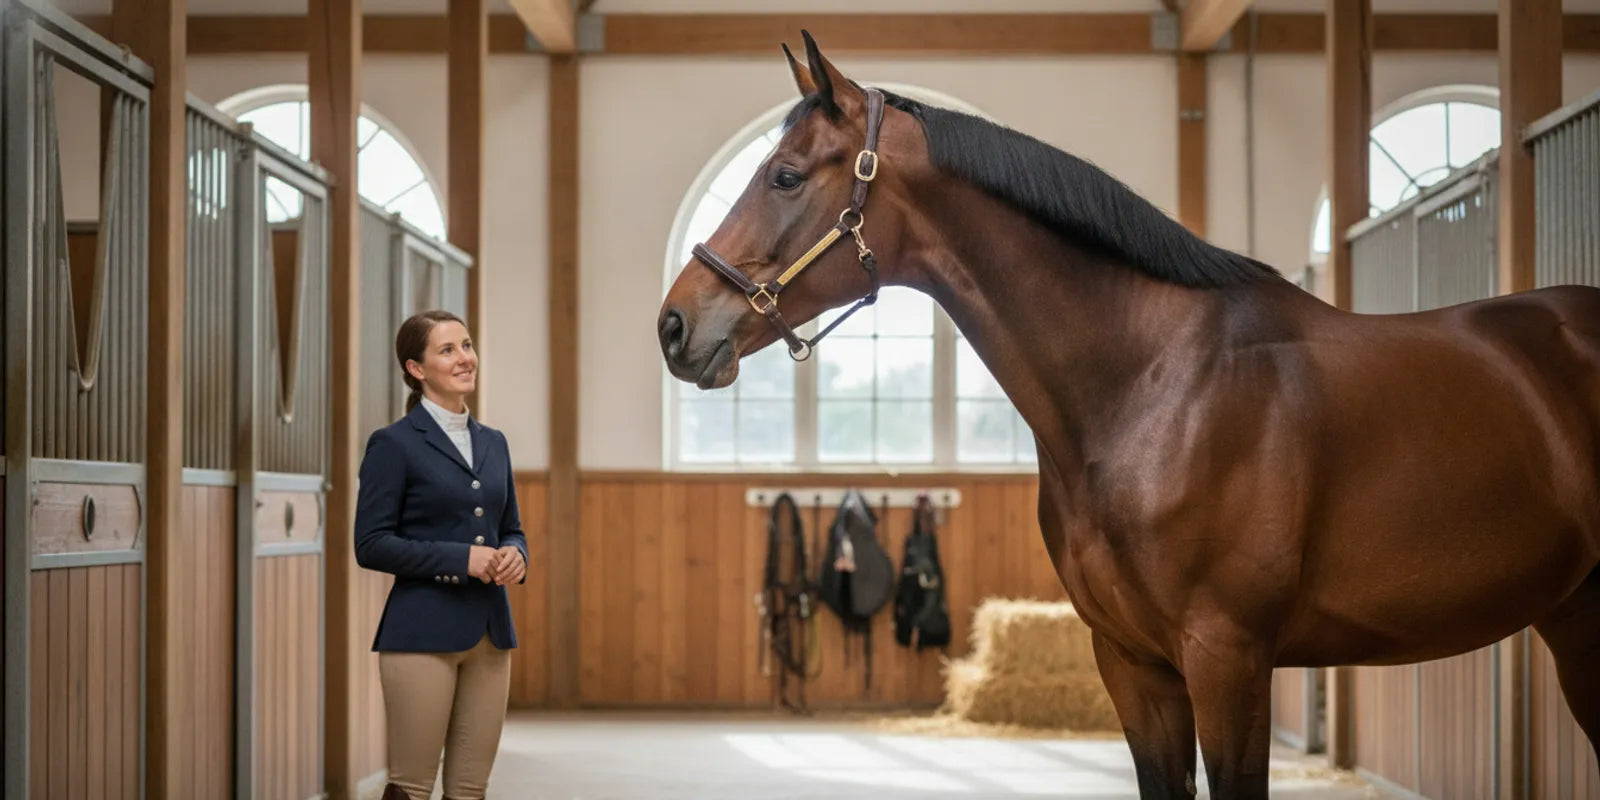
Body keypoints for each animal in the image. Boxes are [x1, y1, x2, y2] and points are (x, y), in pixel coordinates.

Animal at [655, 32, 1600, 799]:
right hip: (1576, 618)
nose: (674, 326)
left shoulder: (1228, 659)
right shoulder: (1132, 664)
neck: (1154, 386)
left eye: (784, 176)